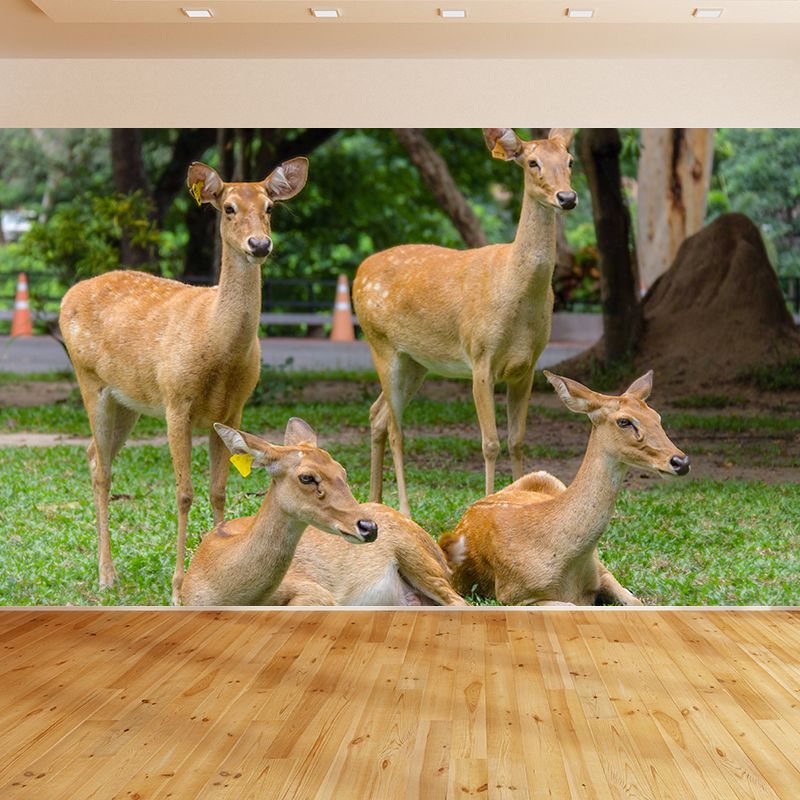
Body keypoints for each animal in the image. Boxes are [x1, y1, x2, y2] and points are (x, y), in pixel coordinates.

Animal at [59, 157, 308, 604]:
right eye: (228, 207)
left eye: (269, 208)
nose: (259, 244)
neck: (217, 346)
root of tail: (67, 295)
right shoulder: (176, 401)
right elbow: (184, 493)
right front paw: (177, 586)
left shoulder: (233, 408)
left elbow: (218, 490)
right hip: (90, 380)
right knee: (102, 469)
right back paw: (107, 576)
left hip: (128, 401)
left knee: (92, 455)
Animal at [353, 128, 577, 517]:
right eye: (532, 162)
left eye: (569, 160)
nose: (567, 197)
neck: (516, 293)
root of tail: (357, 273)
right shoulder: (480, 356)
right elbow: (490, 443)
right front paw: (484, 504)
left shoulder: (528, 366)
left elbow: (517, 441)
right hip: (380, 343)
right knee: (395, 428)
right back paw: (405, 511)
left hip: (416, 361)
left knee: (376, 413)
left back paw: (376, 500)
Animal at [438, 370, 691, 606]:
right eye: (624, 421)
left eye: (657, 416)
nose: (681, 462)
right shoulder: (512, 595)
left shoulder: (601, 571)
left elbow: (636, 601)